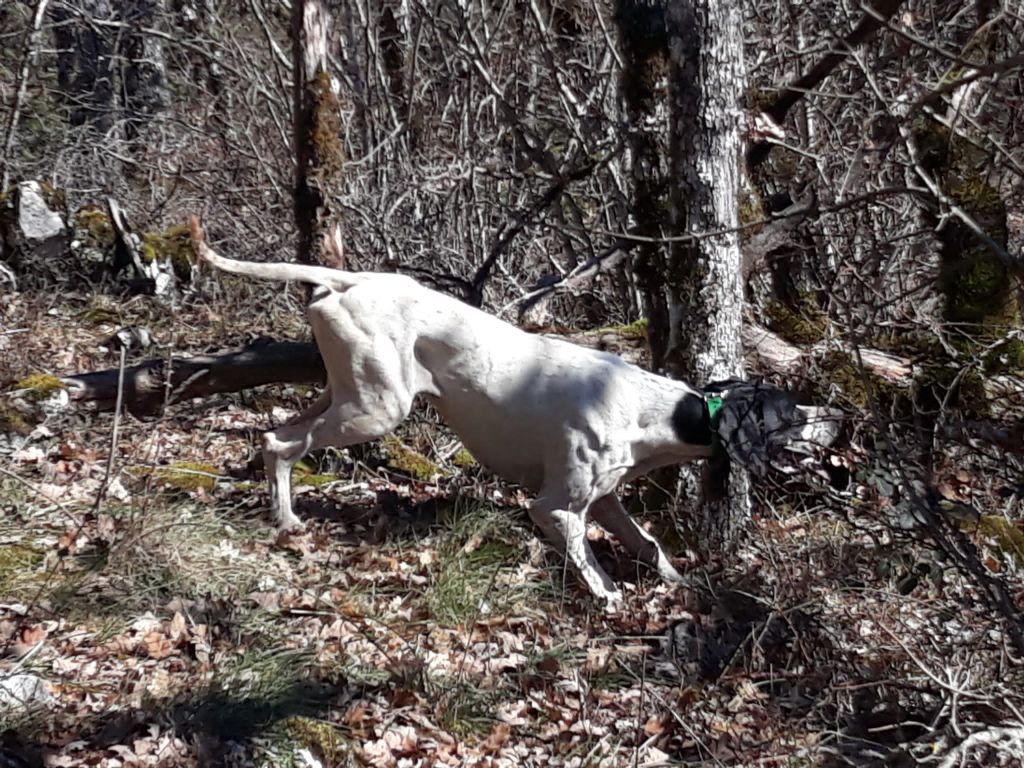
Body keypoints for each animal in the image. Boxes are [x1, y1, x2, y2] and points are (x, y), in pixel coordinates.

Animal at [188, 219, 835, 610]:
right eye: (789, 413)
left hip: (345, 393)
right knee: (281, 444)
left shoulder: (605, 499)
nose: (838, 417)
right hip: (375, 410)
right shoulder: (555, 507)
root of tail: (347, 279)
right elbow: (592, 563)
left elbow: (649, 544)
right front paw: (611, 601)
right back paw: (286, 521)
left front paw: (680, 583)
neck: (659, 411)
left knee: (275, 436)